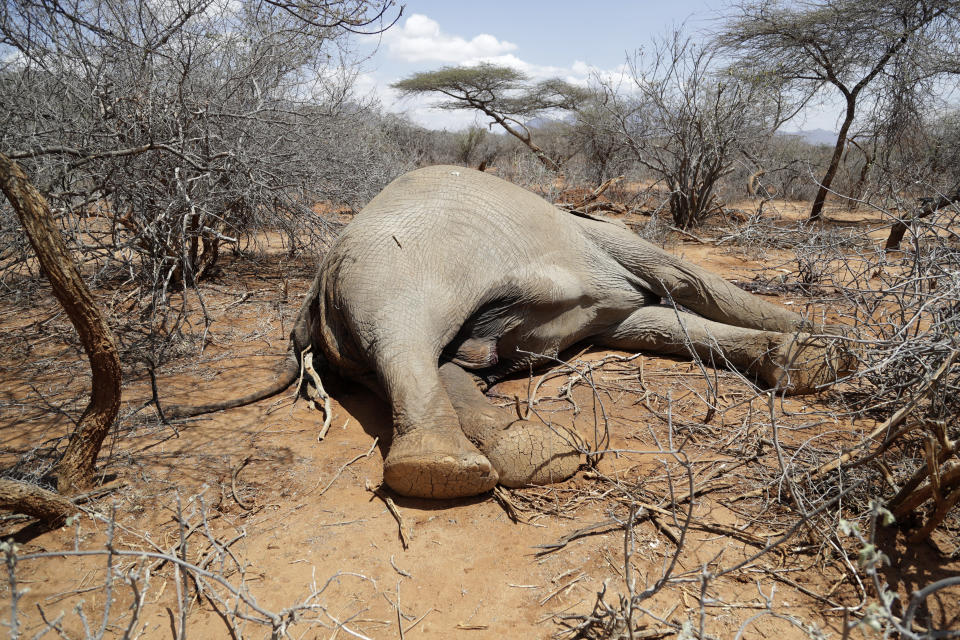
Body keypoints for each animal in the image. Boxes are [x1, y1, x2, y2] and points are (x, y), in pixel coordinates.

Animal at [176, 165, 860, 500]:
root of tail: (311, 290)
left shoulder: (607, 296)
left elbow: (658, 323)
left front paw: (810, 358)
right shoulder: (609, 241)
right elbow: (683, 281)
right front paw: (827, 349)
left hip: (360, 316)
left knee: (429, 361)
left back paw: (527, 453)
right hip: (395, 262)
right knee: (406, 337)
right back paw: (448, 469)